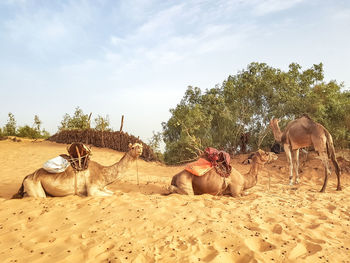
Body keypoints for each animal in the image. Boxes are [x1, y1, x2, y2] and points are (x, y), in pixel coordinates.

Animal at [12, 143, 143, 199]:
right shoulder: (92, 190)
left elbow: (115, 193)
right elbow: (112, 195)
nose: (140, 149)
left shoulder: (103, 187)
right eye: (133, 147)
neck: (103, 173)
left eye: (140, 145)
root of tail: (27, 176)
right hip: (35, 188)